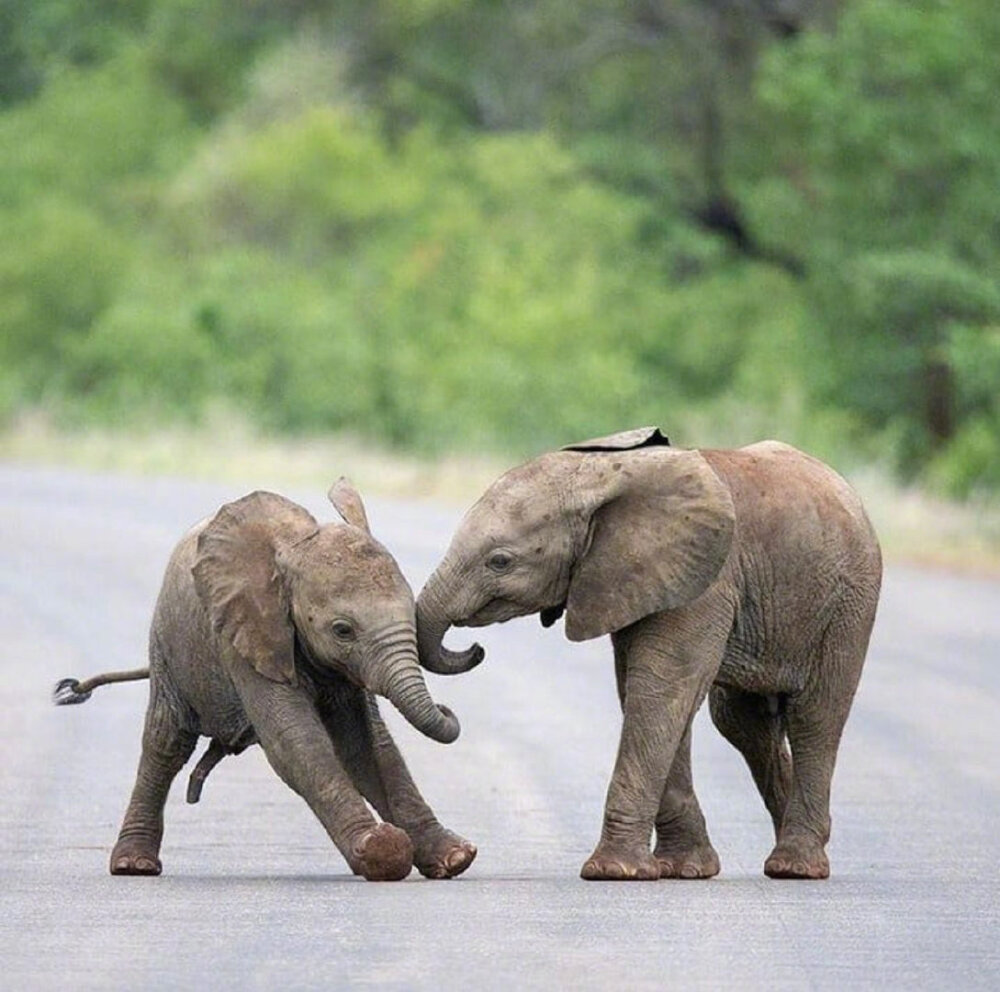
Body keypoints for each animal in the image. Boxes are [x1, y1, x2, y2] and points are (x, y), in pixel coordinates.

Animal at [54, 476, 476, 880]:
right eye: (343, 630)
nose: (447, 707)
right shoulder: (245, 634)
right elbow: (296, 741)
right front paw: (381, 852)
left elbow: (367, 745)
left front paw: (455, 858)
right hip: (168, 645)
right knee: (166, 743)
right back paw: (134, 866)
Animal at [416, 430, 884, 880]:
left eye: (500, 561)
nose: (476, 649)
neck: (599, 475)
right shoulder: (632, 579)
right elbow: (646, 694)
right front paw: (684, 870)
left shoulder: (707, 580)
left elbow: (659, 691)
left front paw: (613, 872)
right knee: (742, 722)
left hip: (850, 603)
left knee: (815, 716)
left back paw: (795, 866)